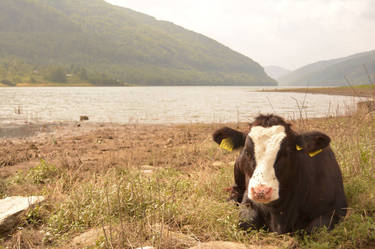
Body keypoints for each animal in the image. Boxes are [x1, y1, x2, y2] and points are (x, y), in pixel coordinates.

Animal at [213, 114, 348, 234]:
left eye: (286, 153)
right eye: (247, 151)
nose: (261, 191)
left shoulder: (336, 209)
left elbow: (315, 229)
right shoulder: (248, 201)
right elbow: (246, 223)